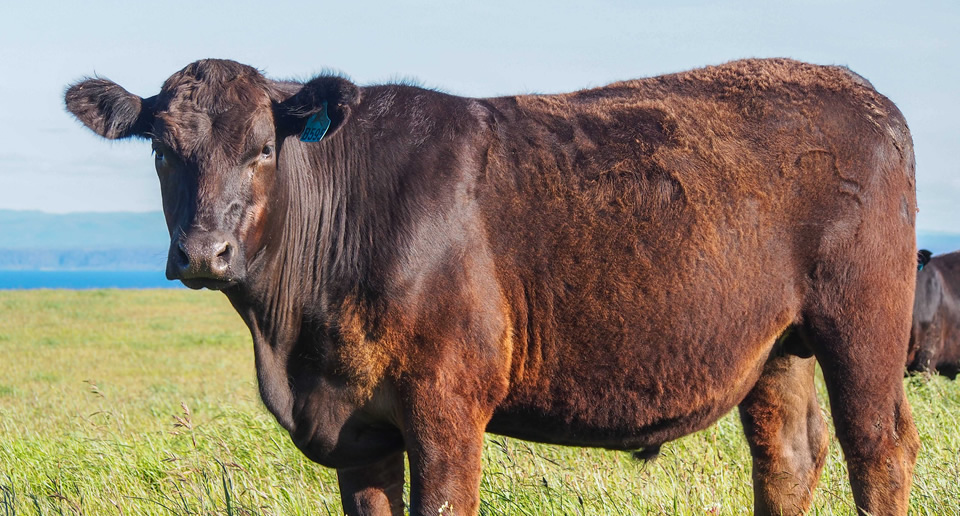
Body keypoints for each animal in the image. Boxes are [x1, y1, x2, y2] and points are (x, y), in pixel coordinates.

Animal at [63, 58, 920, 516]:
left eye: (262, 148)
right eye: (162, 150)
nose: (204, 252)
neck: (294, 346)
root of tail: (861, 91)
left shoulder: (448, 405)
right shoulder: (358, 431)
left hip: (862, 326)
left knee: (877, 448)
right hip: (777, 347)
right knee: (787, 455)